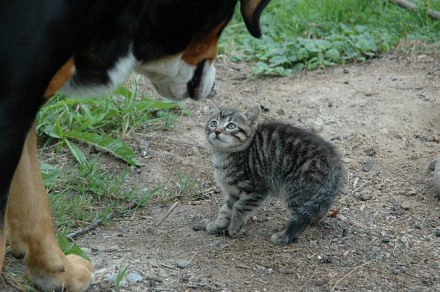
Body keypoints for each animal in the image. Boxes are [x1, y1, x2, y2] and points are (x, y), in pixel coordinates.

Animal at [205, 100, 346, 244]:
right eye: (213, 123)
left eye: (231, 126)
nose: (217, 131)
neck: (224, 155)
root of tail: (334, 159)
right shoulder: (233, 192)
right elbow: (226, 209)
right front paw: (218, 225)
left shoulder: (258, 189)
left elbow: (240, 206)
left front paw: (234, 227)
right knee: (317, 210)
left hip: (296, 190)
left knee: (302, 217)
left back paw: (283, 236)